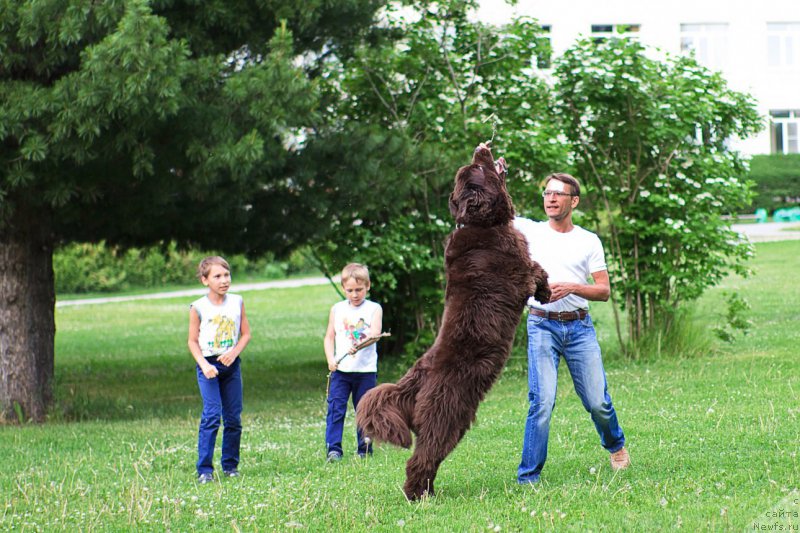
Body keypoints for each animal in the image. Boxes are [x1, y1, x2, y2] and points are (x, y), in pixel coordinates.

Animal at [356, 141, 552, 498]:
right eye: (478, 167)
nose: (481, 146)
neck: (483, 226)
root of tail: (416, 379)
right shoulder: (519, 274)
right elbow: (537, 272)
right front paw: (546, 291)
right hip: (448, 415)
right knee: (422, 458)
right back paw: (418, 497)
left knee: (428, 460)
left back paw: (429, 493)